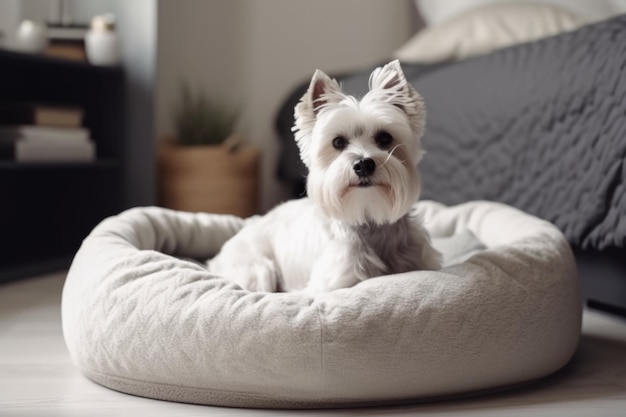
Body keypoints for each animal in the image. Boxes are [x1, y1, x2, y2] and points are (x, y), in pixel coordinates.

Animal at [210, 60, 438, 294]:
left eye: (384, 138)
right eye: (338, 142)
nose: (363, 164)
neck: (369, 217)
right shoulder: (334, 281)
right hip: (258, 271)